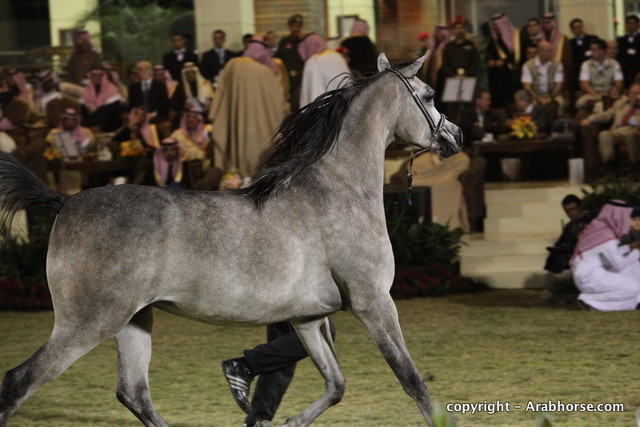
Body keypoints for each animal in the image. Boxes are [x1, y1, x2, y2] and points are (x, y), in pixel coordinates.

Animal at [0, 53, 462, 426]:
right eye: (429, 95)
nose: (455, 136)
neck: (338, 189)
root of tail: (64, 201)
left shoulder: (308, 318)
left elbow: (336, 383)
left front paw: (286, 420)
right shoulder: (374, 302)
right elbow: (411, 380)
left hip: (134, 320)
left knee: (133, 393)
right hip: (88, 322)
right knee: (18, 381)